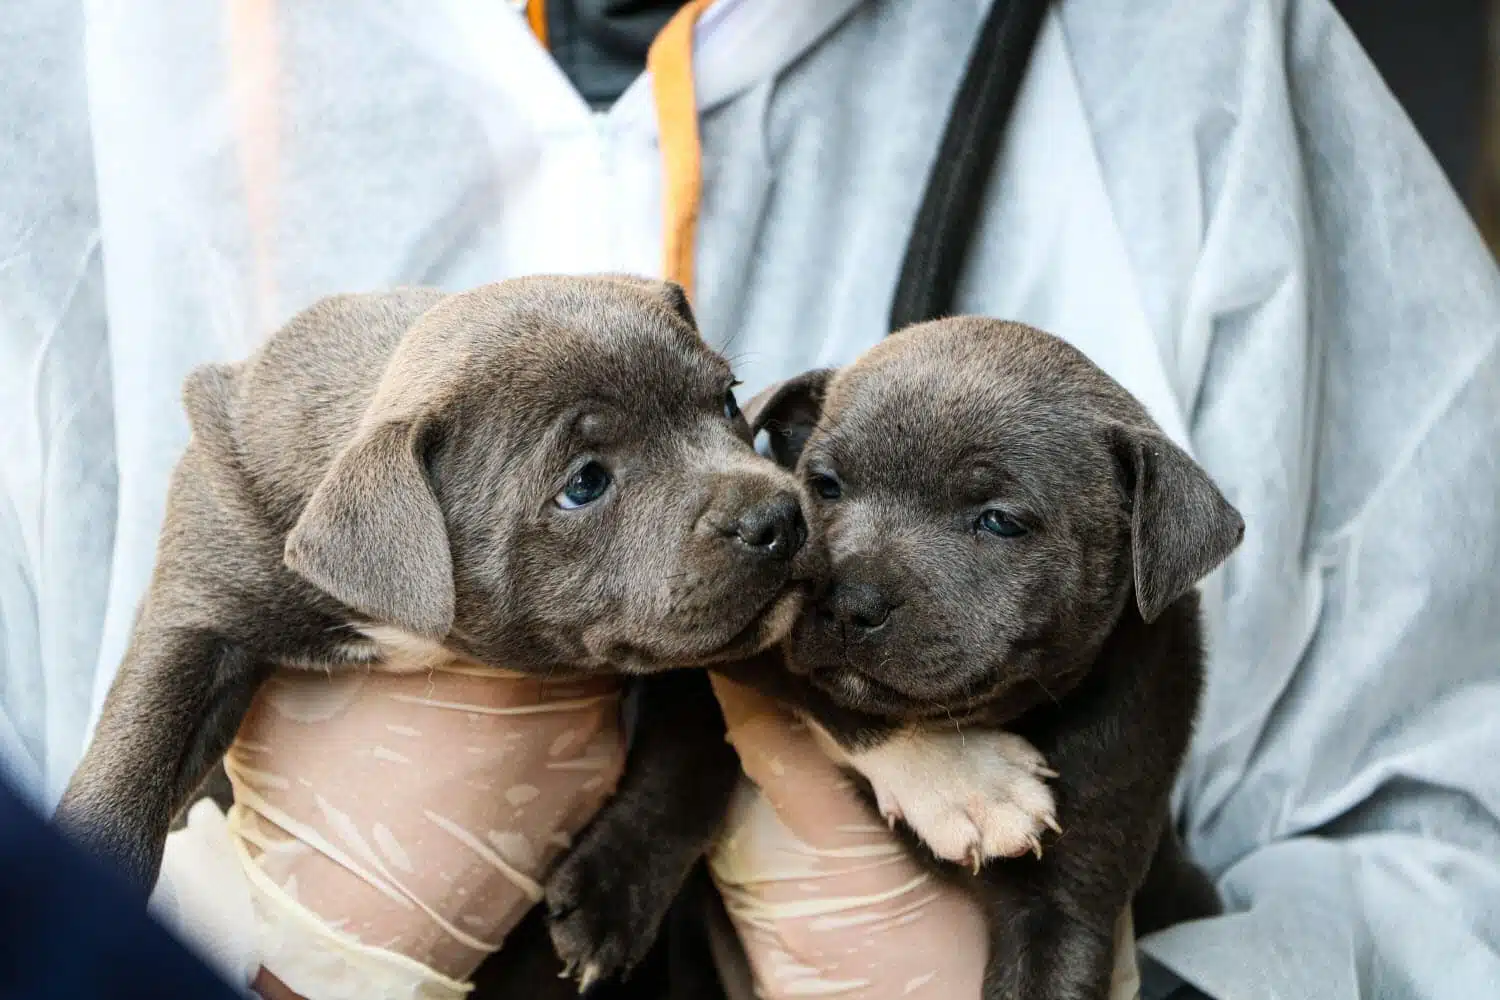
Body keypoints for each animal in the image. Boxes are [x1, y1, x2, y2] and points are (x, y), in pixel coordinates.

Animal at [52, 271, 816, 983]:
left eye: (728, 400)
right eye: (584, 484)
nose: (779, 517)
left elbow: (693, 746)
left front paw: (614, 893)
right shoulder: (201, 599)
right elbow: (137, 750)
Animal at [714, 319, 1242, 1000]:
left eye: (998, 521)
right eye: (824, 486)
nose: (847, 601)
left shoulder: (1067, 905)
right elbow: (827, 692)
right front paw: (962, 781)